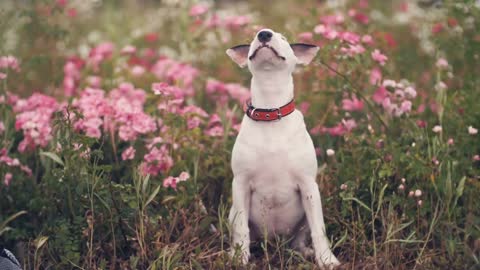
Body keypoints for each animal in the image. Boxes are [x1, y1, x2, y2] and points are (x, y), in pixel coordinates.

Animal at [227, 29, 340, 268]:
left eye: (284, 38)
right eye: (254, 37)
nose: (264, 34)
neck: (270, 110)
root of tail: (274, 242)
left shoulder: (308, 185)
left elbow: (319, 230)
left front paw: (327, 259)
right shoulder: (240, 184)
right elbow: (241, 230)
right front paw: (240, 259)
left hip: (306, 213)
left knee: (300, 238)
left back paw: (306, 252)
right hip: (232, 212)